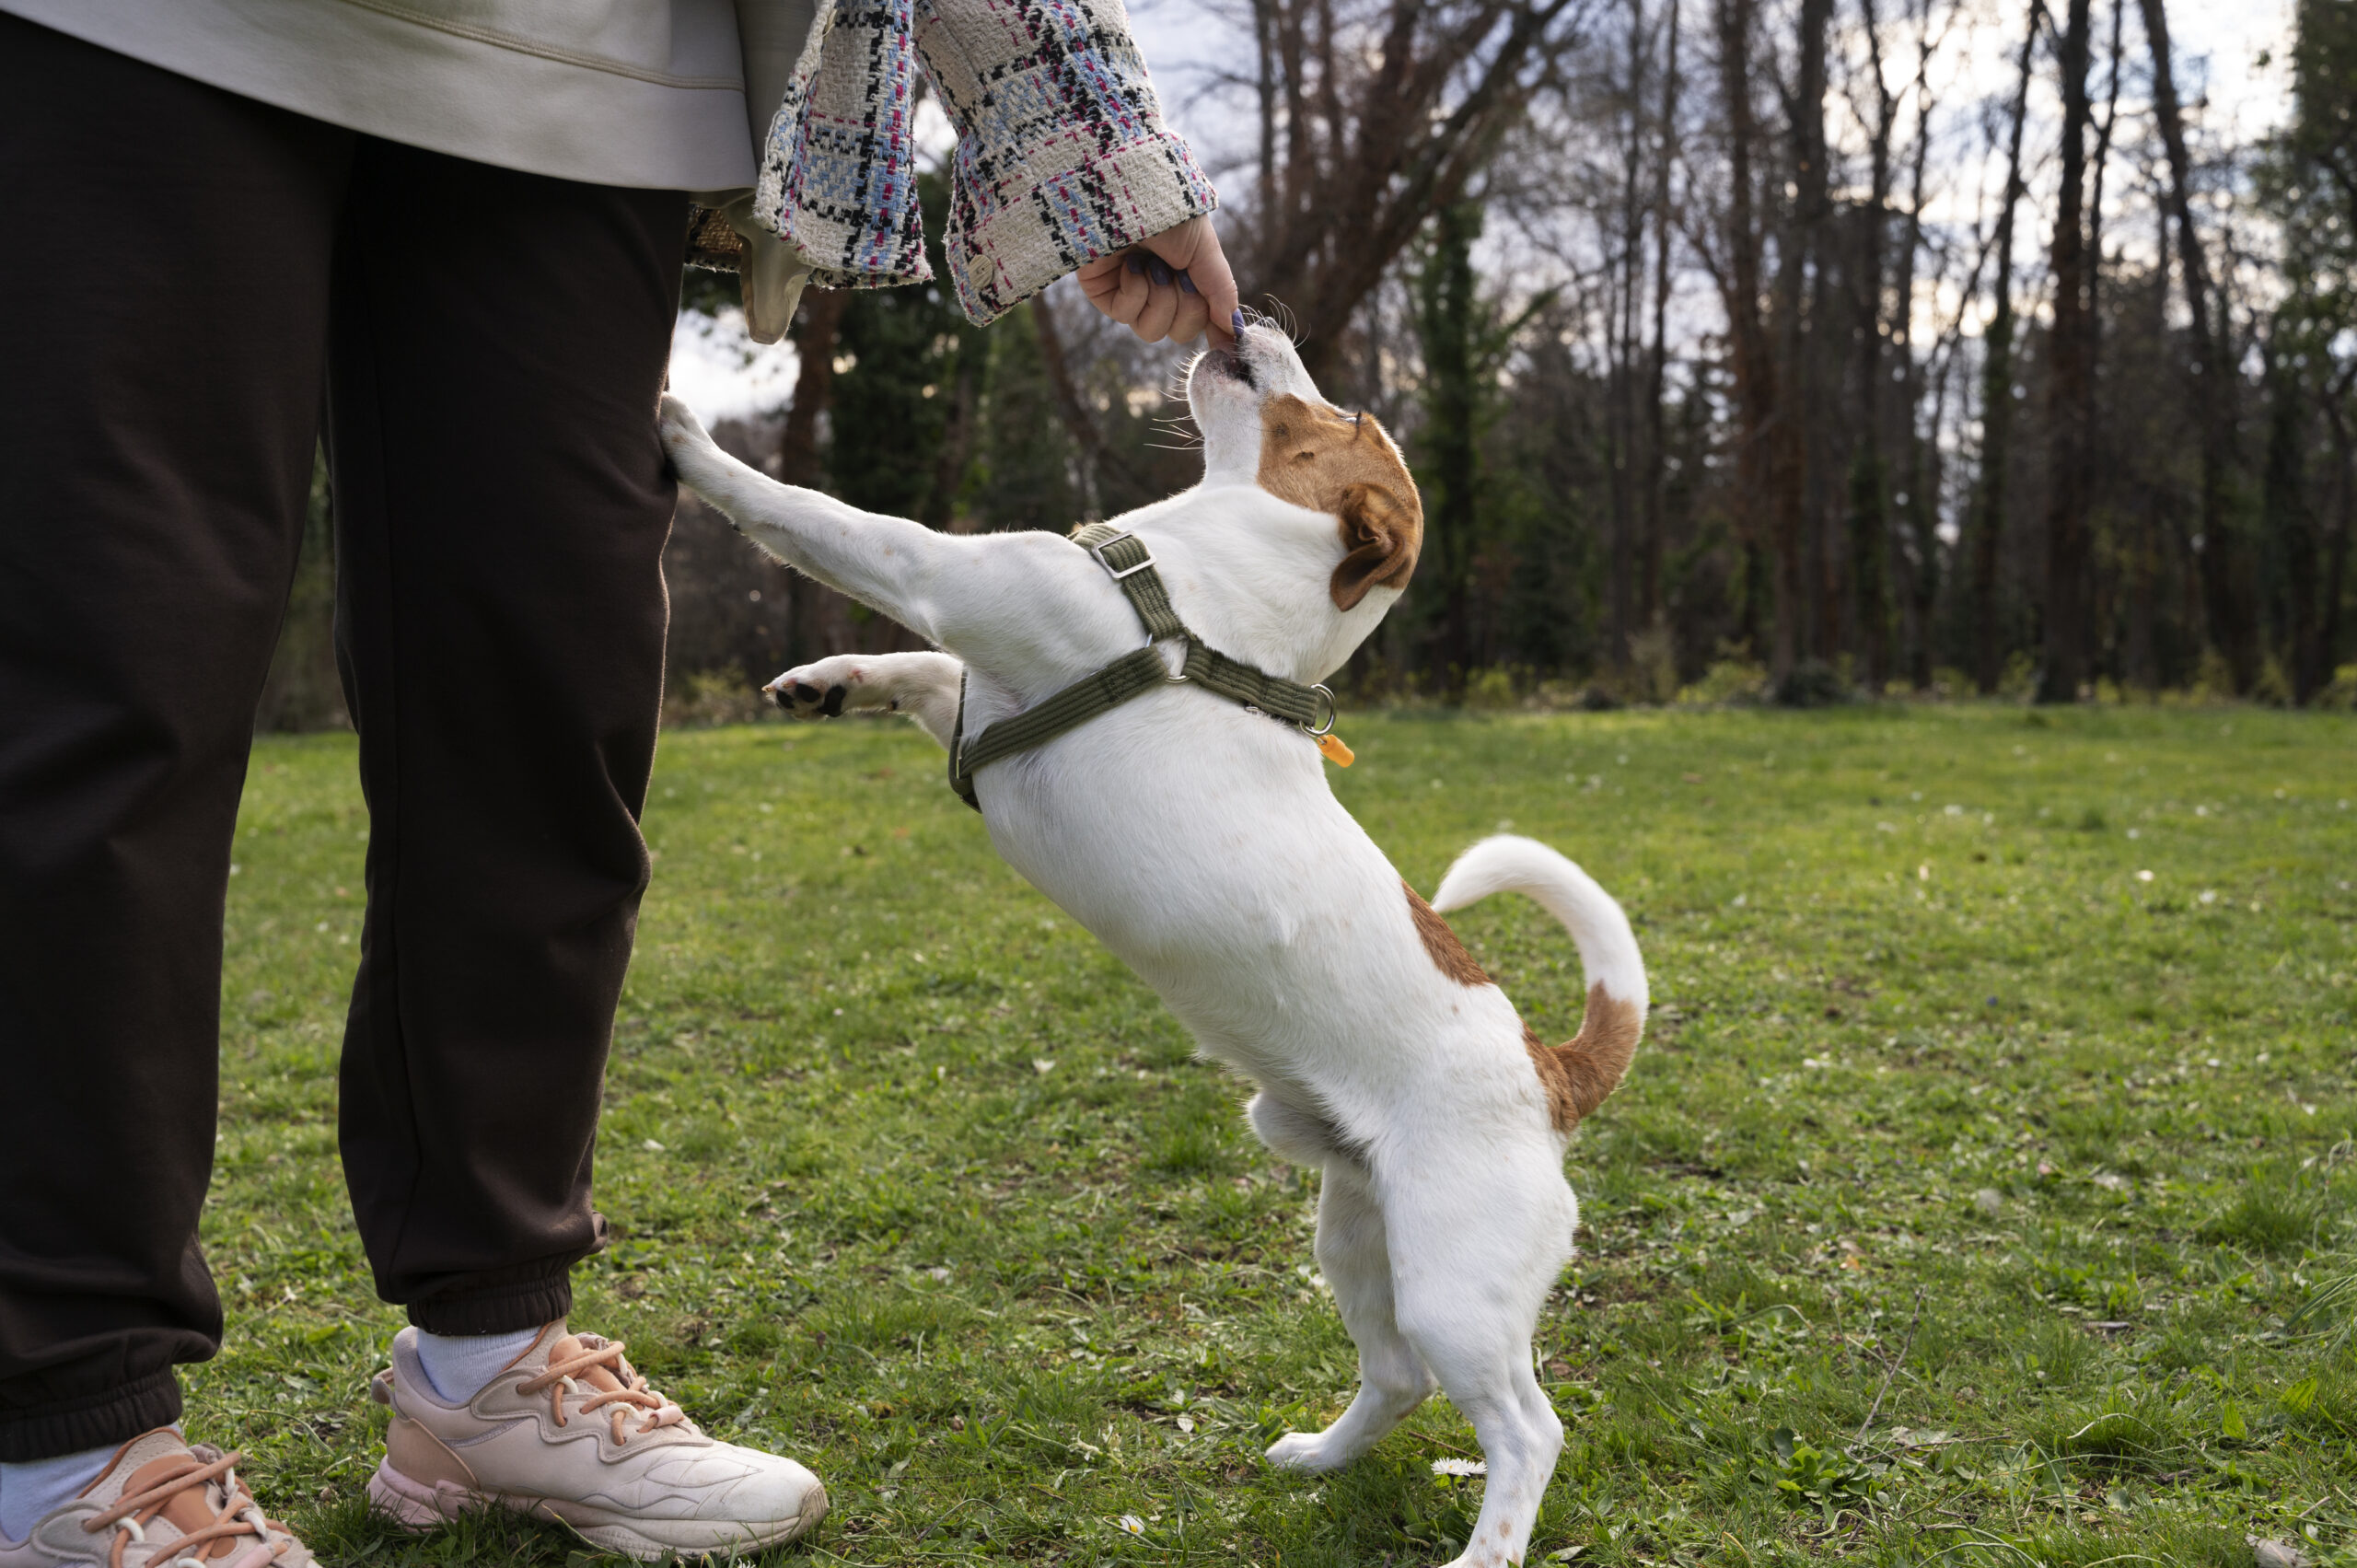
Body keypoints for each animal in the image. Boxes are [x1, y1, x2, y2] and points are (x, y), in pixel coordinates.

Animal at [655, 320, 1650, 1565]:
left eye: (1348, 416)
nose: (1255, 319)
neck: (1194, 601)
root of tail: (1549, 1072)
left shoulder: (956, 578)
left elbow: (817, 516)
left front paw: (685, 432)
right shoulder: (982, 683)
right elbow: (926, 672)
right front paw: (832, 683)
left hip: (1453, 1285)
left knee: (1526, 1426)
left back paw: (1484, 1547)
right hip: (1355, 1238)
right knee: (1395, 1377)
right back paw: (1317, 1456)